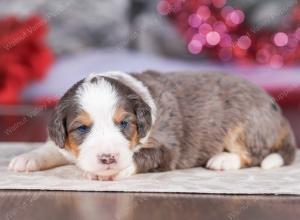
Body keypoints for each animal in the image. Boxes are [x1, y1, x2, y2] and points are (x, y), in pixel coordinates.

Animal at [8, 70, 296, 180]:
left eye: (125, 123)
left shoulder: (168, 147)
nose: (108, 159)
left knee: (256, 154)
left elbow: (142, 156)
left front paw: (112, 171)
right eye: (81, 129)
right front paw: (26, 159)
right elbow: (52, 148)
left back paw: (223, 160)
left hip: (245, 125)